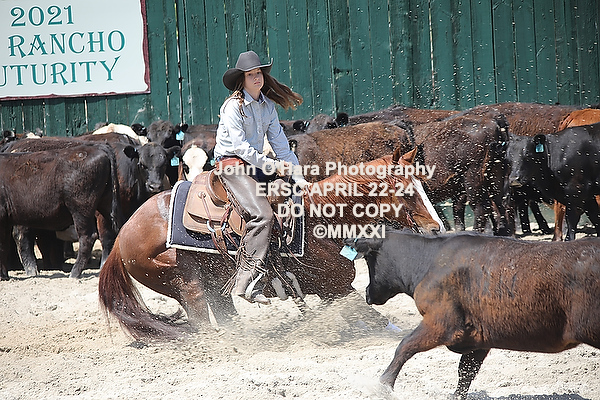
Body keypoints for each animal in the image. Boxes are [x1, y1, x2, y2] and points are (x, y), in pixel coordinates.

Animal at [0, 144, 121, 279]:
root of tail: (97, 147)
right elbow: (4, 246)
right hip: (106, 204)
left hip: (80, 209)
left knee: (87, 237)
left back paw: (74, 273)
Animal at [98, 148, 444, 340]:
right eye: (408, 192)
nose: (436, 228)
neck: (320, 218)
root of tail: (123, 234)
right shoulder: (335, 289)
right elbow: (376, 319)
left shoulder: (334, 293)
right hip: (185, 284)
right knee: (202, 320)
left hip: (215, 285)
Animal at [344, 229, 600, 400]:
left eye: (368, 260)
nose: (367, 293)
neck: (430, 261)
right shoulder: (478, 338)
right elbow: (466, 372)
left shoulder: (441, 324)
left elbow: (404, 347)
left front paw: (382, 386)